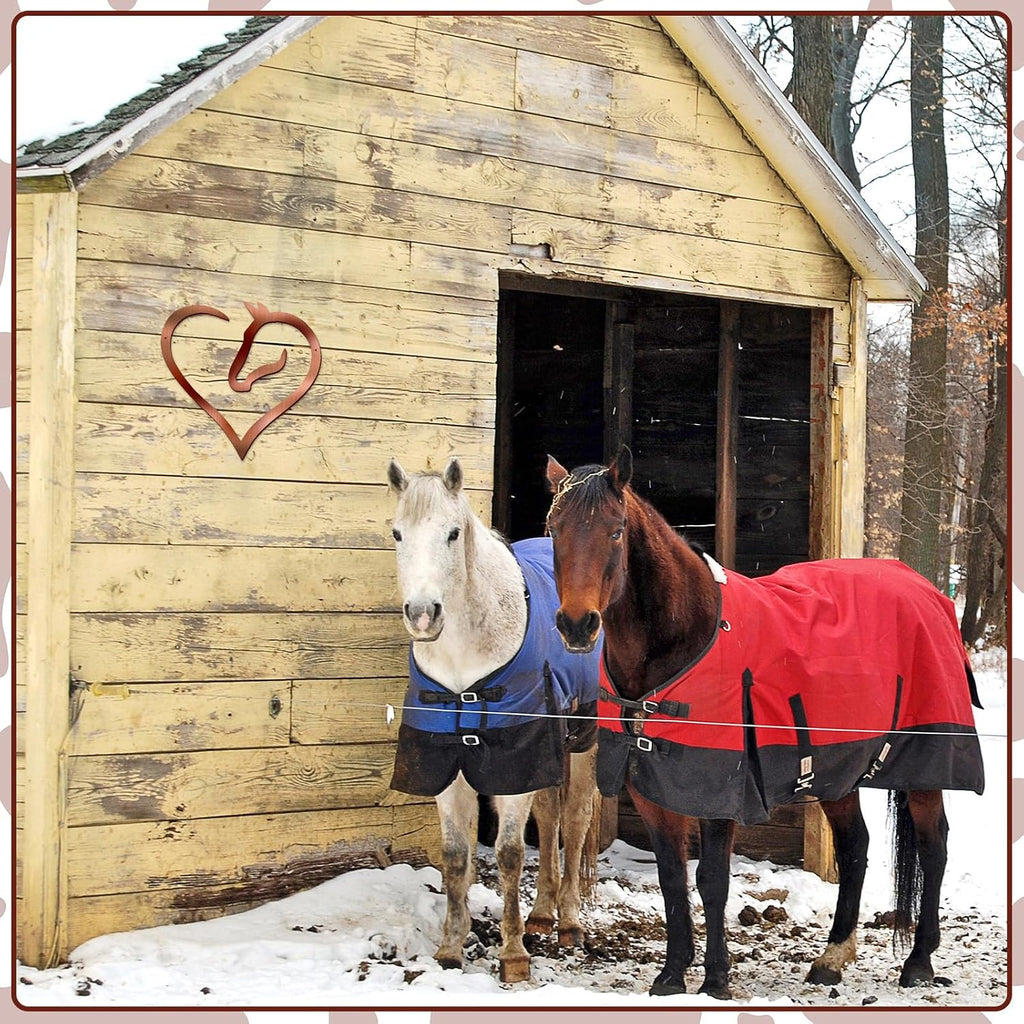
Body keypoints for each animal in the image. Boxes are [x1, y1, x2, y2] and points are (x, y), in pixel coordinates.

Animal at [386, 456, 603, 983]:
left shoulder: (514, 763)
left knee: (573, 821)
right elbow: (455, 856)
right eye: (398, 533)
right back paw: (542, 915)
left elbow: (507, 854)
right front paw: (450, 948)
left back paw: (568, 922)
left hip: (584, 739)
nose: (422, 615)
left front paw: (513, 955)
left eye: (452, 533)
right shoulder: (449, 763)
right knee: (548, 816)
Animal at [543, 446, 984, 999]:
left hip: (925, 764)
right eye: (554, 528)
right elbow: (671, 876)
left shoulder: (720, 791)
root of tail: (927, 590)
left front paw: (715, 980)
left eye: (617, 530)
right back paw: (832, 958)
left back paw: (919, 962)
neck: (684, 637)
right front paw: (671, 975)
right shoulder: (650, 789)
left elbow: (711, 880)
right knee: (855, 847)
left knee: (933, 845)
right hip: (834, 771)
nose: (577, 625)